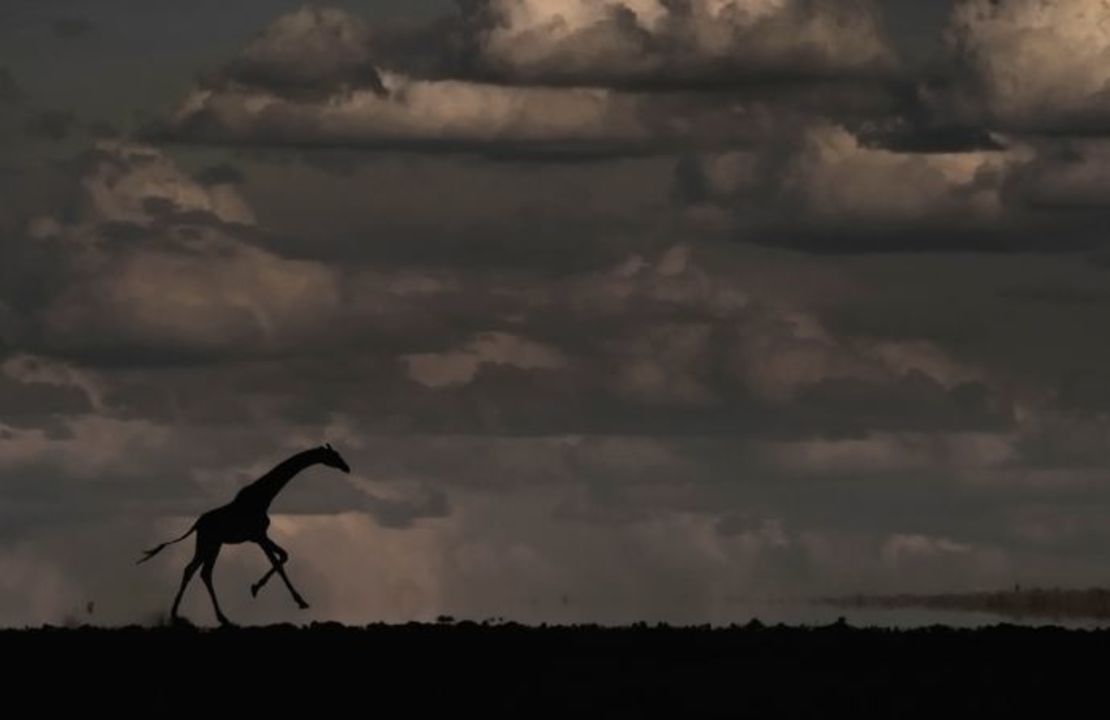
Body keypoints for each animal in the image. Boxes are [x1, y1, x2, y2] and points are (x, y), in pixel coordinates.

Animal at [136, 441, 350, 621]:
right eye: (334, 455)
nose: (347, 467)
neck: (263, 498)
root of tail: (197, 524)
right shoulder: (259, 536)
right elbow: (278, 562)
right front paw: (298, 600)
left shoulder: (260, 536)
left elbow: (283, 556)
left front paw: (256, 587)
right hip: (208, 543)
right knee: (197, 571)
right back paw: (202, 617)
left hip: (213, 545)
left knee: (199, 571)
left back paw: (208, 617)